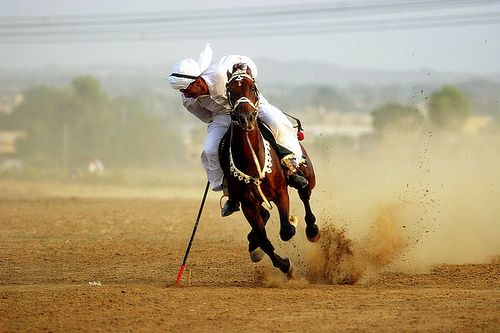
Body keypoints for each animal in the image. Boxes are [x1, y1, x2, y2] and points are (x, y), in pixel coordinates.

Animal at [220, 61, 320, 276]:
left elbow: (286, 231)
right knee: (264, 218)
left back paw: (312, 230)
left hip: (308, 175)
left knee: (305, 193)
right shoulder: (248, 205)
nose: (246, 118)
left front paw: (293, 223)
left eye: (253, 88)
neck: (252, 161)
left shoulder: (281, 192)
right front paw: (285, 266)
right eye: (230, 91)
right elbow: (264, 239)